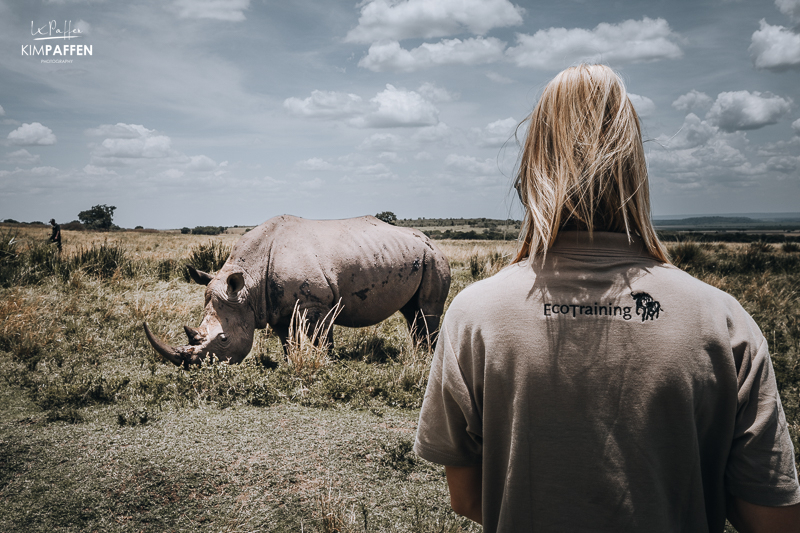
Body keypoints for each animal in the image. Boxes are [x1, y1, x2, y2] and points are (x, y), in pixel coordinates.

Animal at [143, 214, 450, 368]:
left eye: (223, 339)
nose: (193, 368)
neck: (248, 285)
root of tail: (428, 238)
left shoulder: (318, 304)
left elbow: (322, 340)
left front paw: (326, 363)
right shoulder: (273, 307)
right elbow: (287, 341)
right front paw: (291, 363)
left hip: (434, 258)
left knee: (427, 312)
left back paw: (427, 359)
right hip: (414, 256)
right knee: (411, 313)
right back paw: (418, 355)